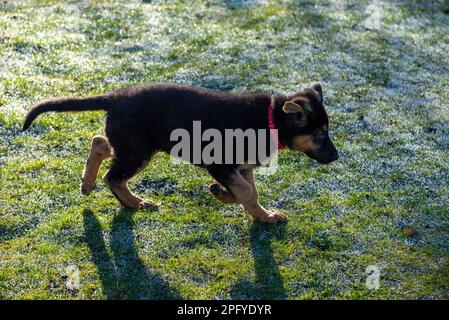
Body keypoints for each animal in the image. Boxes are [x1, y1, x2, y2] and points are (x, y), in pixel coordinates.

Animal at [21, 83, 336, 222]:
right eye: (320, 135)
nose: (336, 157)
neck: (270, 118)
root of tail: (116, 97)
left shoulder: (243, 168)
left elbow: (250, 193)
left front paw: (263, 216)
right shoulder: (220, 165)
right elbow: (247, 192)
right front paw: (226, 195)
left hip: (133, 144)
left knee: (100, 142)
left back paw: (87, 184)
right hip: (137, 150)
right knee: (113, 177)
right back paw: (134, 203)